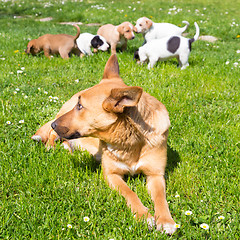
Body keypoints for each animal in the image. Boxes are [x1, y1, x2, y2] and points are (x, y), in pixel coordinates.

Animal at [32, 54, 176, 234]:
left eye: (80, 106)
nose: (54, 124)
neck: (130, 141)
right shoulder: (111, 175)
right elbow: (130, 192)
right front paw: (143, 215)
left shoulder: (155, 174)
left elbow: (160, 197)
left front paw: (166, 220)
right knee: (53, 135)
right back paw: (51, 147)